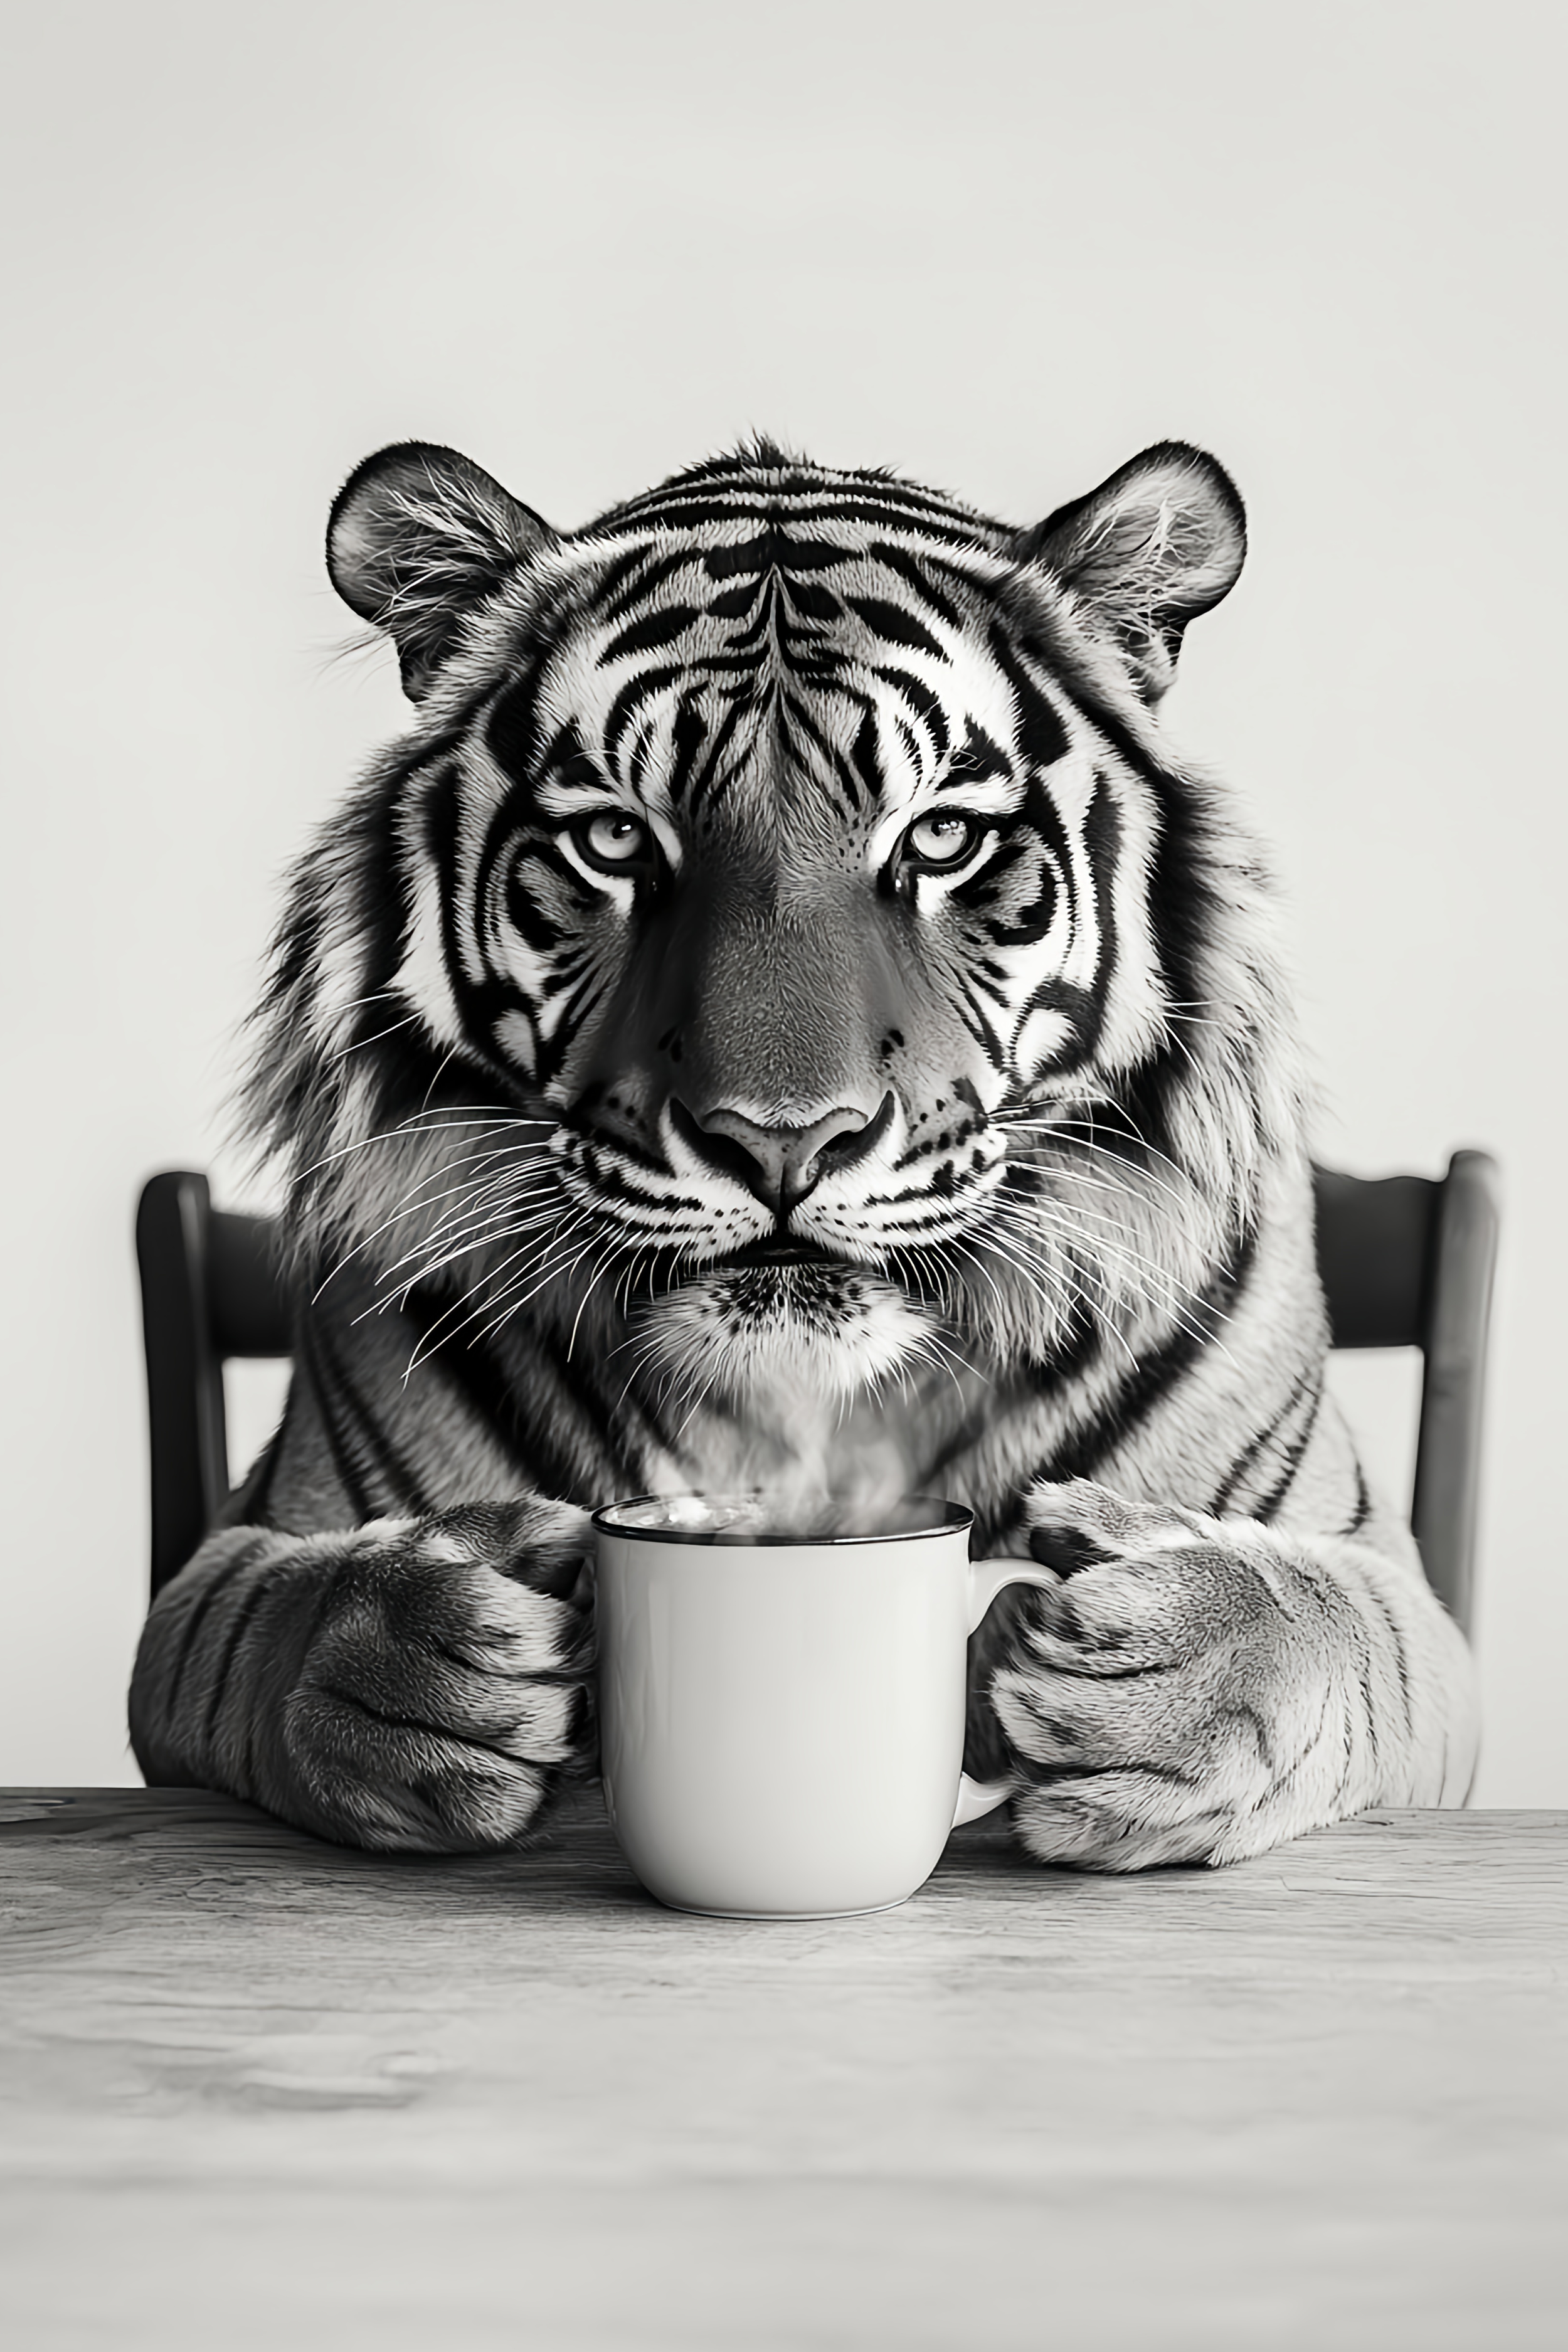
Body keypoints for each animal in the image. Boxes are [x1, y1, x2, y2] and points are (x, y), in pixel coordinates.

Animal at [128, 435, 1478, 1869]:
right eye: (616, 839)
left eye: (939, 837)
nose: (782, 1140)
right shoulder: (229, 1560)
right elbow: (261, 1627)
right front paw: (420, 1653)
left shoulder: (1394, 1584)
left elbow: (1342, 1628)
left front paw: (1172, 1672)